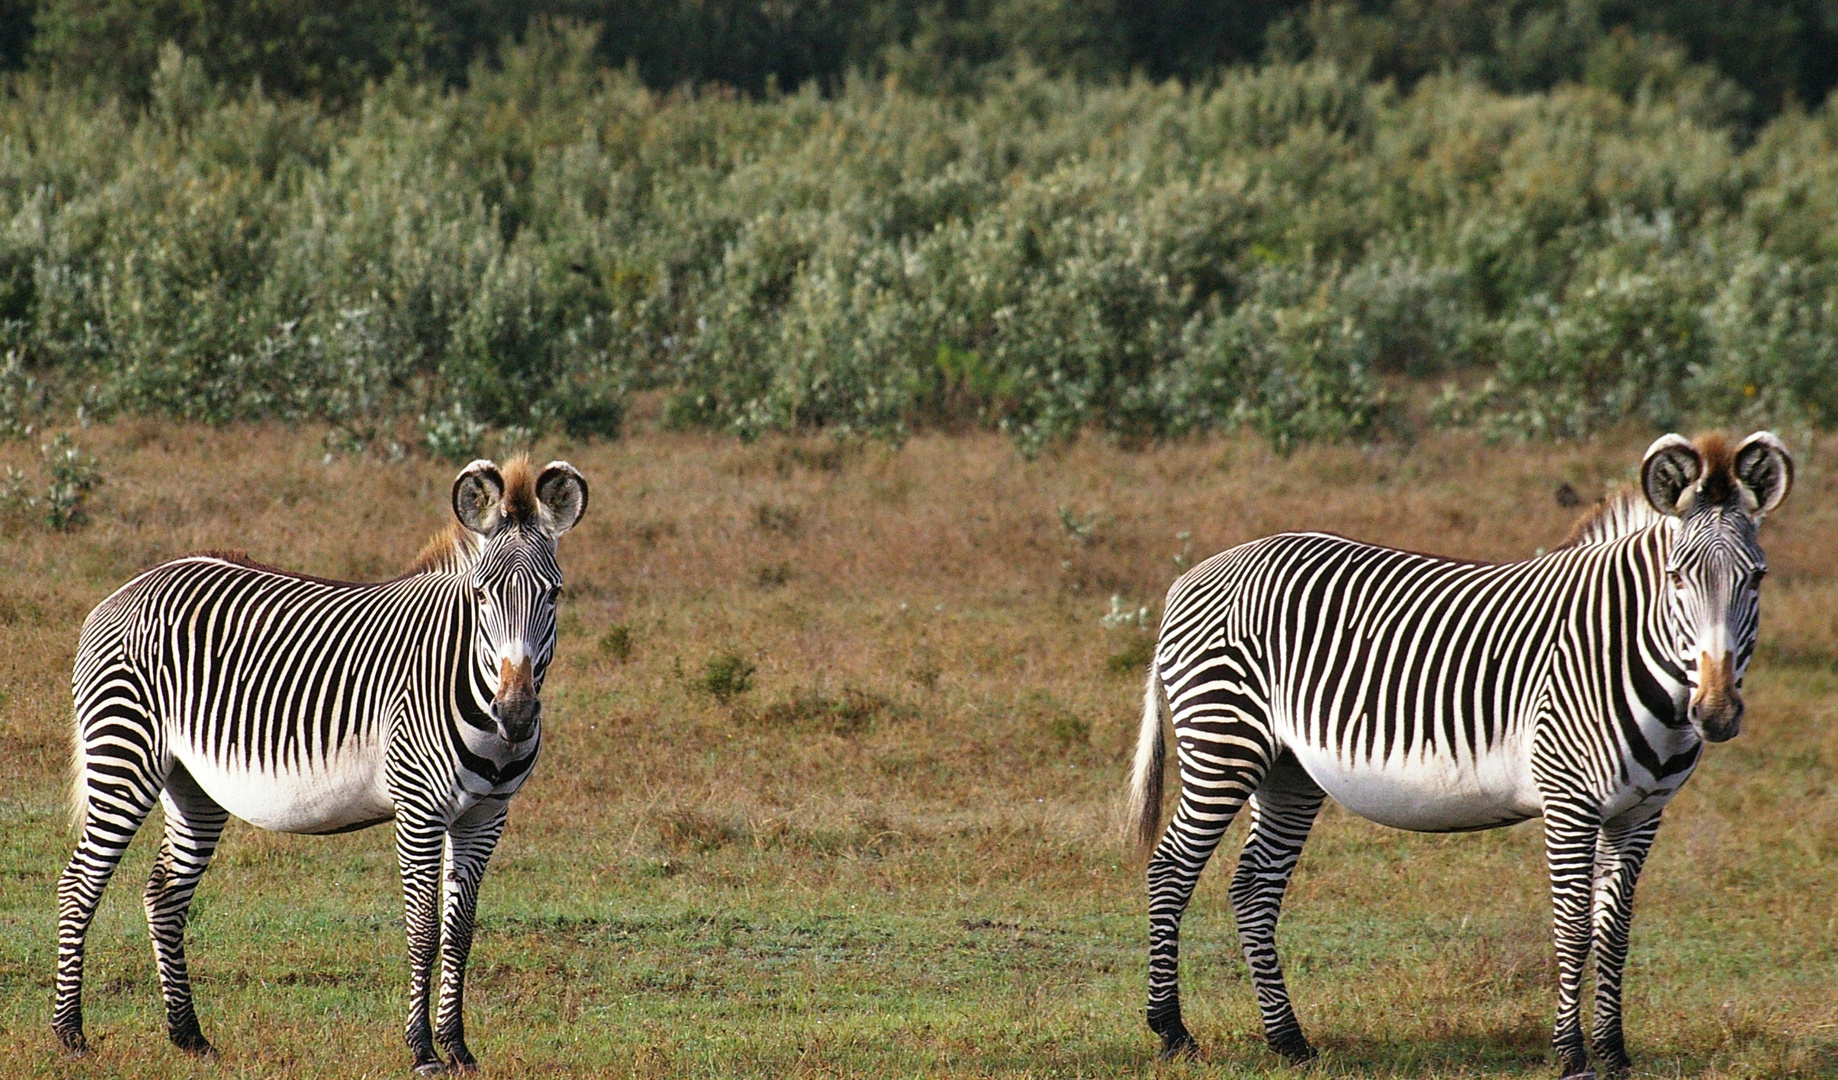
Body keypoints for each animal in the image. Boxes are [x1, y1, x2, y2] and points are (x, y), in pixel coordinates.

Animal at [55, 455, 588, 1072]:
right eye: (481, 596)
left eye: (554, 595)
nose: (517, 713)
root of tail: (128, 588)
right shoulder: (419, 809)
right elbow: (423, 930)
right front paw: (422, 1051)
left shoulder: (486, 816)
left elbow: (460, 933)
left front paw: (458, 1048)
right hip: (124, 753)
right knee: (79, 885)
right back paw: (69, 1034)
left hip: (192, 786)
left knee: (164, 895)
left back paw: (189, 1036)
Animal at [1117, 431, 1793, 1080]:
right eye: (1677, 577)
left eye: (1756, 578)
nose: (1716, 712)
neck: (1621, 648)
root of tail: (1201, 570)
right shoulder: (1568, 800)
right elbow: (1572, 928)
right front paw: (1572, 1057)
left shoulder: (1641, 813)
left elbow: (1615, 932)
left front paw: (1616, 1054)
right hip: (1223, 743)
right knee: (1171, 868)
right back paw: (1172, 1032)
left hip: (1287, 771)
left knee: (1254, 886)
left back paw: (1289, 1042)